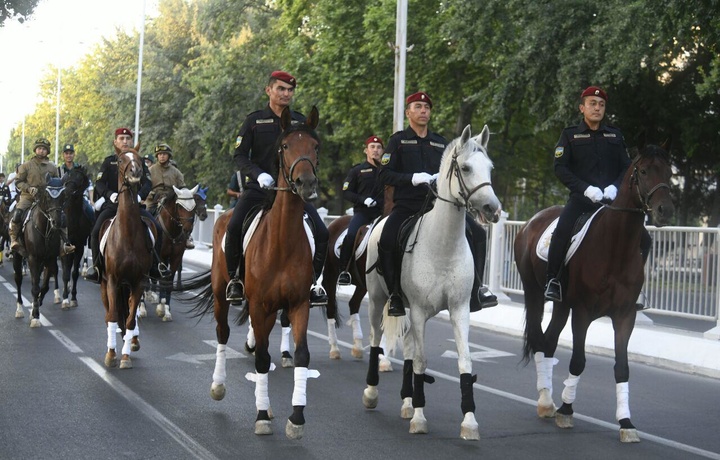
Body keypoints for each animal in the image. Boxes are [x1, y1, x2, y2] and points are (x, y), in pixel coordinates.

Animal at [13, 176, 67, 328]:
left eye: (63, 196)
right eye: (48, 197)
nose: (57, 222)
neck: (44, 229)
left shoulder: (50, 259)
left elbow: (44, 286)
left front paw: (35, 308)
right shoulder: (33, 258)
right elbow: (35, 287)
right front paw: (35, 316)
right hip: (18, 256)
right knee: (18, 279)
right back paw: (19, 309)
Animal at [100, 146, 156, 370]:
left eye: (139, 159)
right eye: (121, 160)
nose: (136, 172)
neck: (128, 234)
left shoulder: (138, 281)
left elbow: (131, 319)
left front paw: (124, 356)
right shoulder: (112, 281)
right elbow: (113, 316)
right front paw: (111, 354)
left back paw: (132, 340)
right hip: (105, 284)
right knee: (109, 314)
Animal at [186, 106, 320, 440]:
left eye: (315, 146)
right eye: (285, 146)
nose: (306, 184)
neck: (283, 240)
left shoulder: (298, 304)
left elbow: (301, 355)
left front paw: (296, 417)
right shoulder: (258, 305)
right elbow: (260, 358)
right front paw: (261, 416)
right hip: (222, 294)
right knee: (222, 334)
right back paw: (219, 385)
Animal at [362, 124, 498, 440]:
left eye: (490, 168)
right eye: (465, 167)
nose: (492, 208)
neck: (443, 245)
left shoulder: (459, 310)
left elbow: (464, 360)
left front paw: (469, 421)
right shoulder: (420, 311)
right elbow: (422, 361)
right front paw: (420, 418)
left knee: (409, 348)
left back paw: (407, 401)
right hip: (378, 300)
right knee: (376, 338)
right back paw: (372, 392)